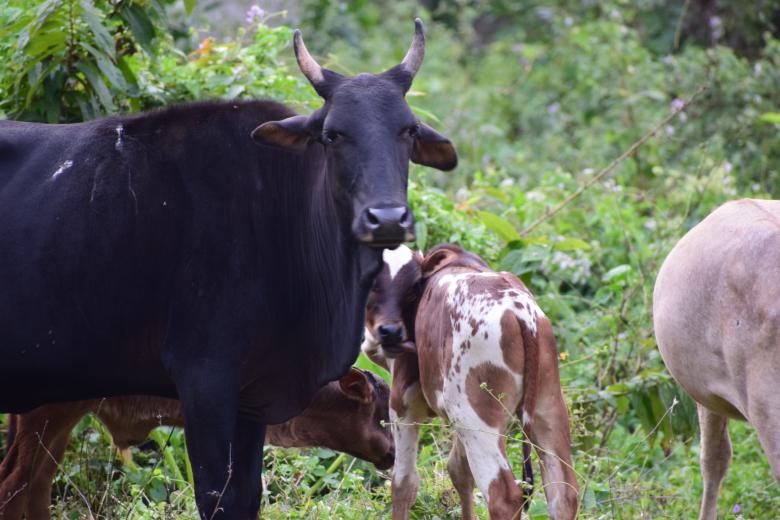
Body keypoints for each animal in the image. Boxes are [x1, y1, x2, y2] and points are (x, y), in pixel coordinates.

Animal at [362, 244, 579, 519]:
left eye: (412, 287)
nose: (390, 332)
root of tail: (519, 310)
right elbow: (458, 471)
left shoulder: (403, 401)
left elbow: (404, 482)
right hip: (546, 407)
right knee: (563, 493)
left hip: (477, 416)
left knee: (504, 497)